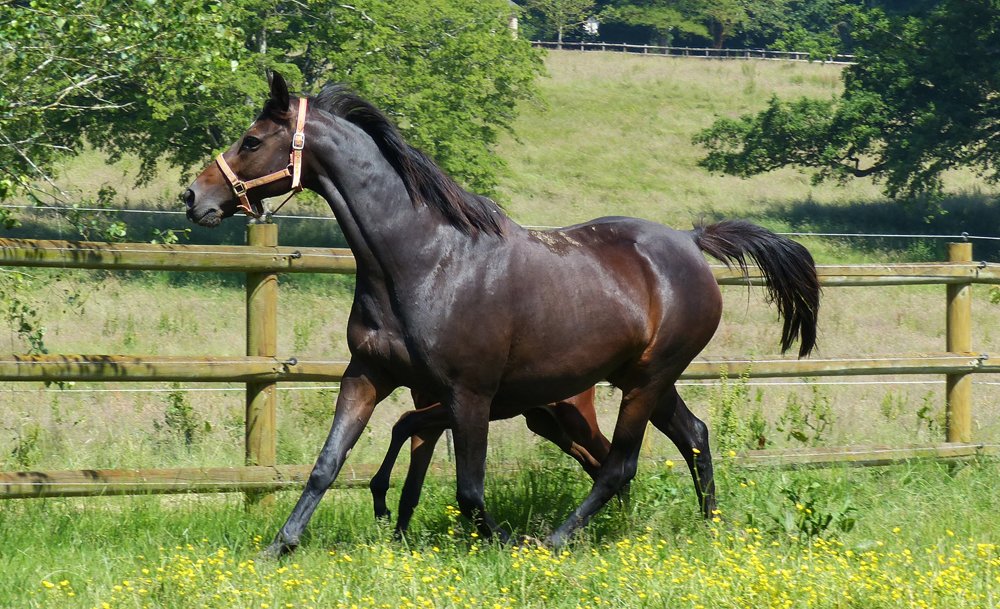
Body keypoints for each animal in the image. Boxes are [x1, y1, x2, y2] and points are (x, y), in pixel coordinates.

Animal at [371, 388, 609, 536]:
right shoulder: (429, 423)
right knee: (593, 463)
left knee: (606, 454)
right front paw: (397, 538)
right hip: (545, 424)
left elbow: (405, 420)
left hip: (574, 419)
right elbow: (412, 487)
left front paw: (381, 504)